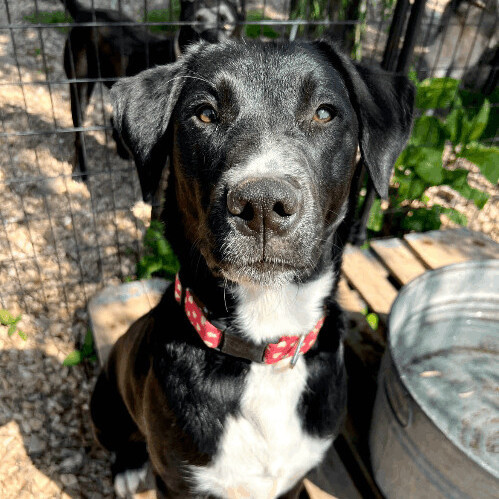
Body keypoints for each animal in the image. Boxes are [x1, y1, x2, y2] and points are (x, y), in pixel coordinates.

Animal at [60, 0, 244, 187]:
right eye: (193, 25)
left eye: (227, 24)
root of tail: (86, 10)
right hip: (80, 88)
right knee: (79, 135)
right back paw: (80, 171)